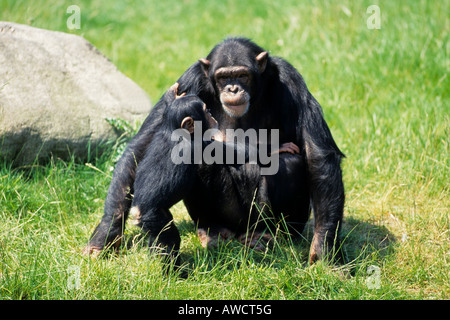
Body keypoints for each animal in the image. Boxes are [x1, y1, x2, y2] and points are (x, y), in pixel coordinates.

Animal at [84, 36, 344, 264]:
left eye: (242, 75)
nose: (232, 88)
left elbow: (317, 154)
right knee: (202, 161)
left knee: (290, 163)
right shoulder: (187, 81)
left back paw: (270, 236)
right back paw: (213, 231)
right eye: (222, 77)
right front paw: (105, 235)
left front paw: (324, 251)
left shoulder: (292, 80)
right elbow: (141, 146)